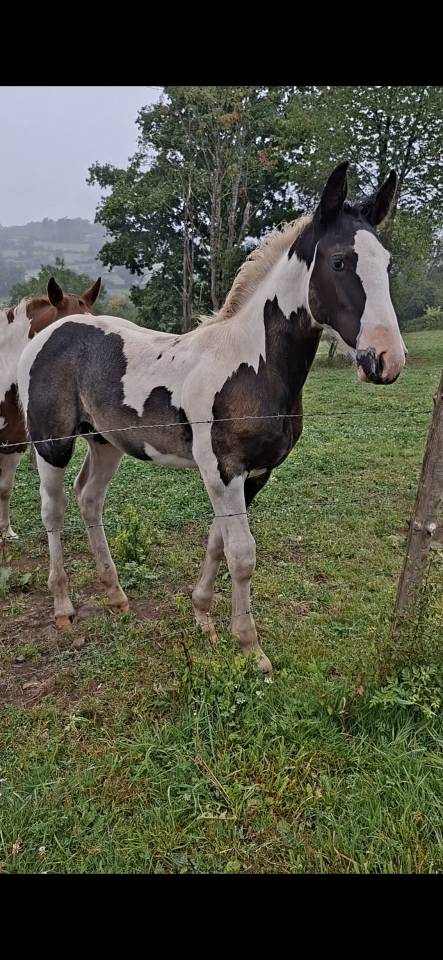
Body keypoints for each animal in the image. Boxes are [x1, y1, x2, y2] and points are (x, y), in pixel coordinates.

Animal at [17, 162, 405, 674]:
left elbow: (217, 542)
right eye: (339, 261)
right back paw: (63, 607)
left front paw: (203, 617)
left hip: (105, 442)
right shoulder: (222, 470)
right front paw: (251, 648)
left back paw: (116, 595)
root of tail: (50, 333)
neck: (250, 365)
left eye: (386, 264)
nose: (385, 359)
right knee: (54, 508)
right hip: (52, 444)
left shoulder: (254, 474)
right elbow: (242, 554)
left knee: (89, 500)